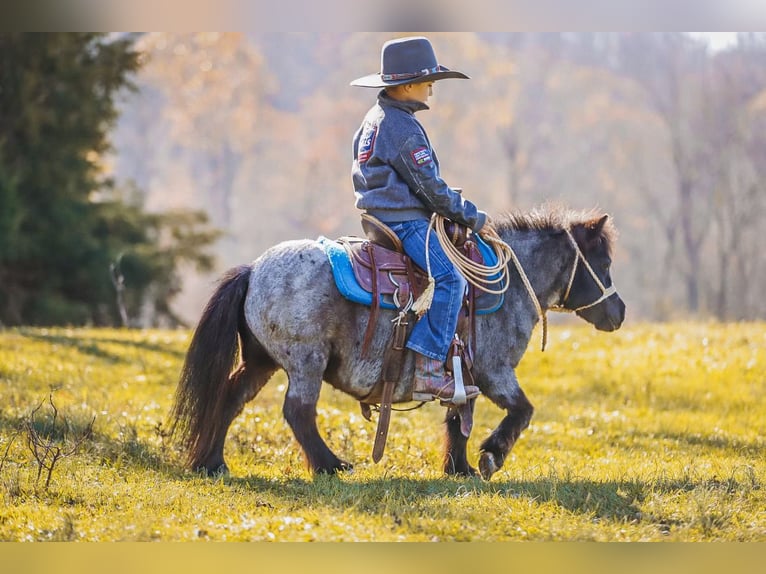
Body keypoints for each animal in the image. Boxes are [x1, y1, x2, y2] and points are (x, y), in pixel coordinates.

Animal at [171, 207, 628, 482]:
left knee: (231, 397)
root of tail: (253, 269)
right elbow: (522, 411)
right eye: (604, 263)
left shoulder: (466, 375)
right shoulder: (496, 372)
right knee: (297, 410)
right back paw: (330, 465)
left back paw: (213, 462)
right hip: (305, 360)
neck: (509, 282)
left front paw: (459, 468)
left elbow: (458, 421)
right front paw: (491, 456)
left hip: (261, 361)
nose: (619, 312)